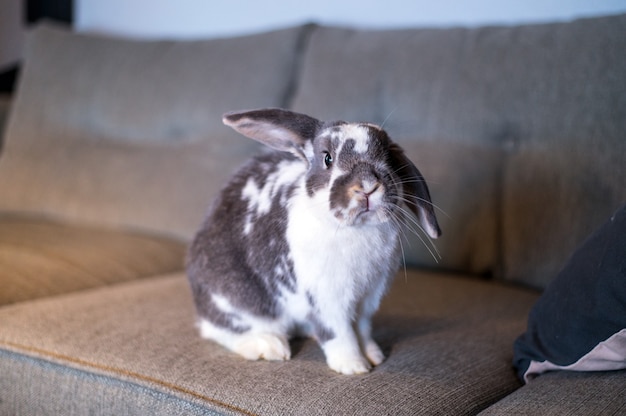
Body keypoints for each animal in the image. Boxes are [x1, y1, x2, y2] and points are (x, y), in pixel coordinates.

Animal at [185, 109, 438, 376]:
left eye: (388, 157)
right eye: (327, 158)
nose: (368, 186)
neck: (356, 228)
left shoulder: (368, 297)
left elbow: (362, 329)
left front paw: (374, 356)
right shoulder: (326, 298)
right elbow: (339, 332)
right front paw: (354, 366)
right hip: (234, 296)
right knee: (219, 329)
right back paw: (268, 344)